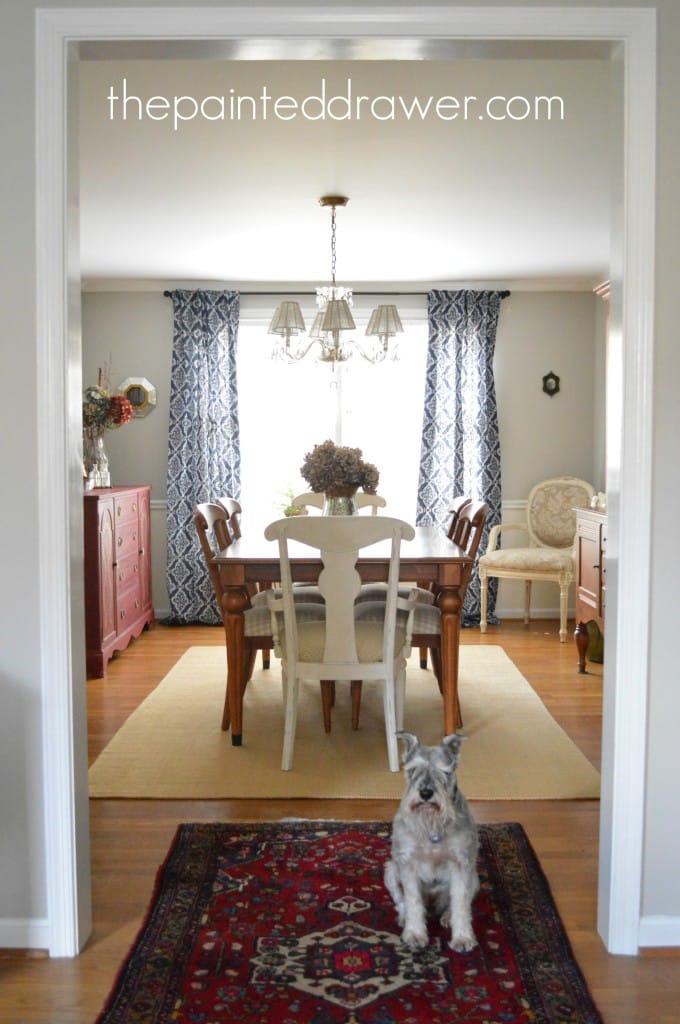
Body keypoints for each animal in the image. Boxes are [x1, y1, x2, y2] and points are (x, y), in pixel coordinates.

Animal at [385, 729, 481, 950]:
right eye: (412, 769)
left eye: (444, 771)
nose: (426, 792)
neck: (431, 825)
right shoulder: (407, 863)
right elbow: (412, 901)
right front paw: (414, 934)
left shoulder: (461, 864)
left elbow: (461, 903)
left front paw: (463, 938)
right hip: (391, 872)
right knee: (402, 902)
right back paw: (404, 919)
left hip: (474, 879)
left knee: (452, 904)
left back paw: (447, 917)